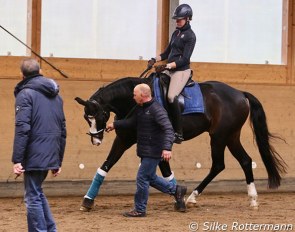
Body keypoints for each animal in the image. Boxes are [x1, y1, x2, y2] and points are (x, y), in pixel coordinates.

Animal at [75, 73, 288, 210]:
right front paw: (87, 200)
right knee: (244, 161)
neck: (138, 104)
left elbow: (165, 172)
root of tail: (240, 93)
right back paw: (252, 199)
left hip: (219, 137)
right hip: (231, 136)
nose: (96, 140)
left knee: (219, 164)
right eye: (86, 117)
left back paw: (193, 197)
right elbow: (105, 167)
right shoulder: (123, 139)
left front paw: (178, 197)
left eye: (100, 115)